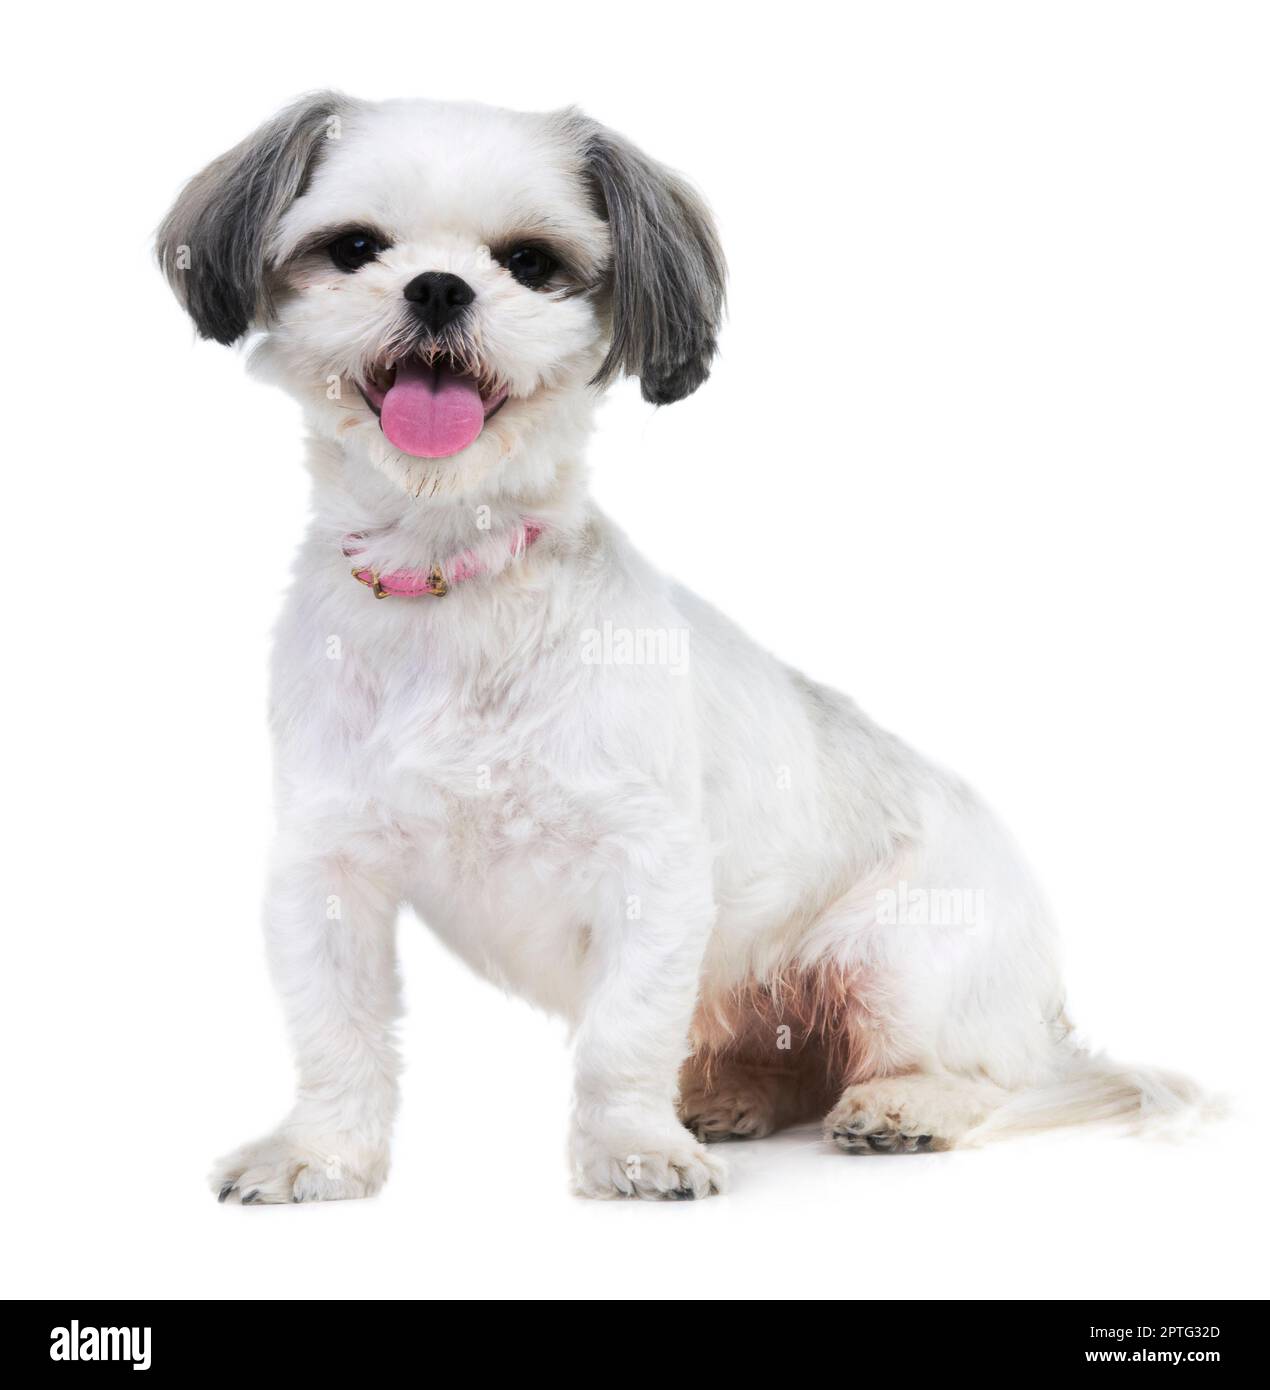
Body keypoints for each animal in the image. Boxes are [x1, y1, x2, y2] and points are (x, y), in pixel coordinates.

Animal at [158, 92, 1200, 1200]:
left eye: (530, 262)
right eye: (353, 247)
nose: (438, 287)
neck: (454, 579)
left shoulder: (647, 864)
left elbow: (622, 1037)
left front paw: (632, 1150)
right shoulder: (328, 865)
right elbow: (336, 1033)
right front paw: (318, 1153)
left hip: (898, 956)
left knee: (987, 1077)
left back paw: (903, 1108)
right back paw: (730, 1095)